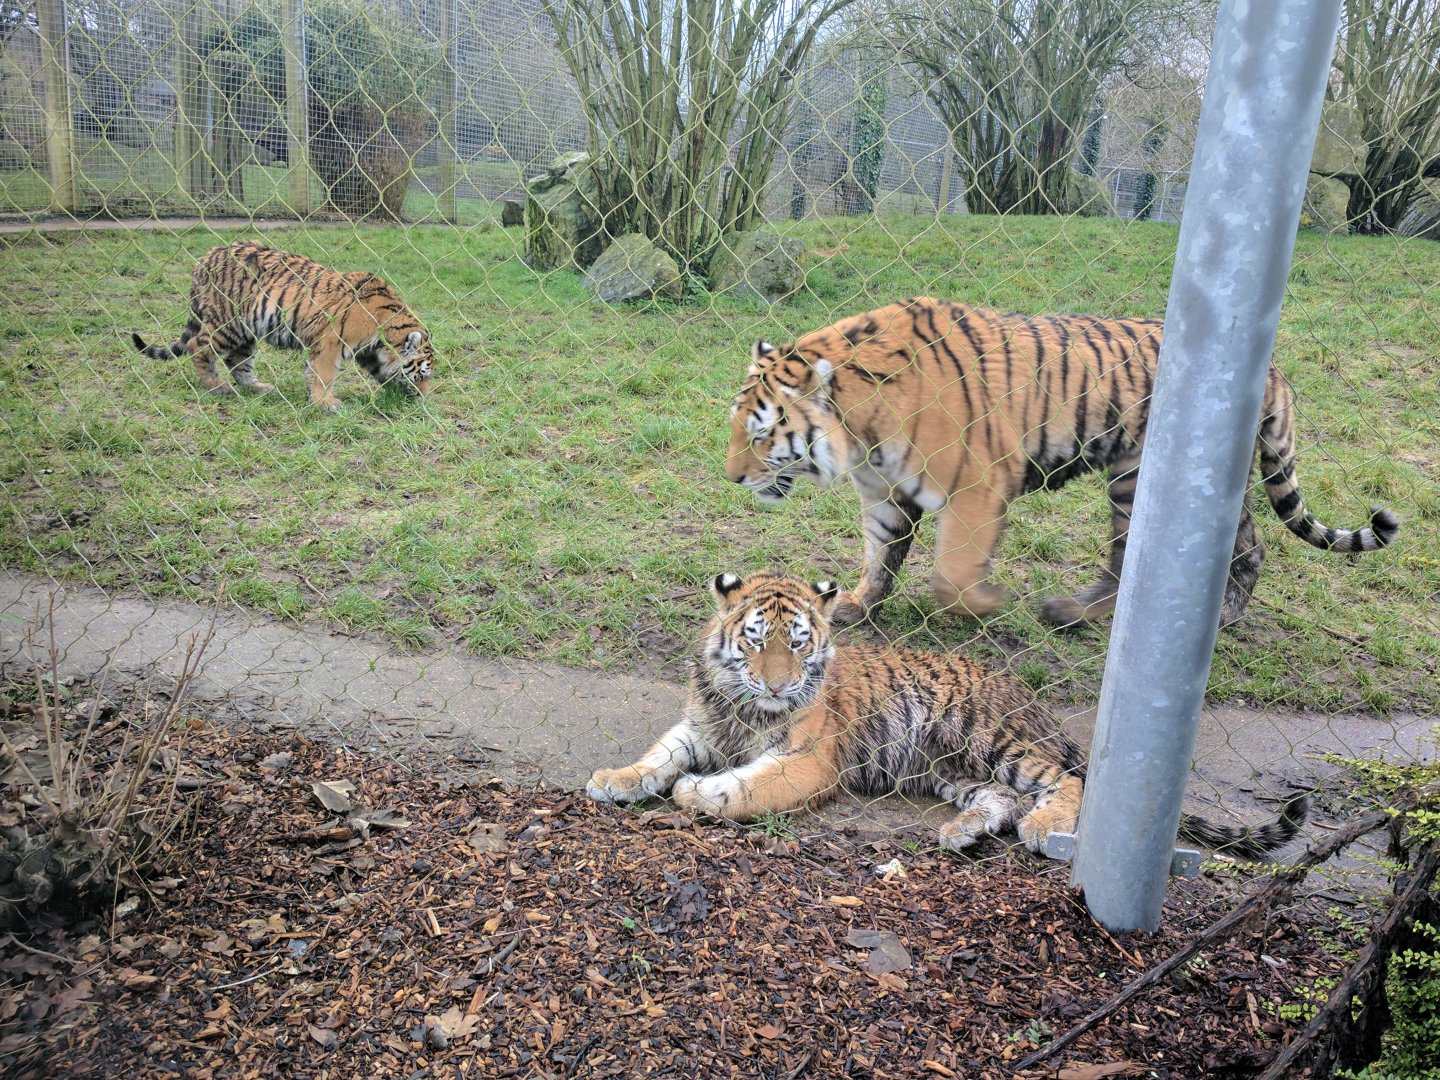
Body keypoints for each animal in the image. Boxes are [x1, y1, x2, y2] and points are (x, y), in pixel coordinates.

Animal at [131, 241, 434, 411]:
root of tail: (204, 259)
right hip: (227, 321)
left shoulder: (368, 351)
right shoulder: (329, 343)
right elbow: (323, 375)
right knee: (199, 347)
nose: (424, 396)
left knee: (237, 362)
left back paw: (258, 387)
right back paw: (216, 386)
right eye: (422, 374)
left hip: (246, 332)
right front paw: (326, 404)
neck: (384, 332)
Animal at [588, 570, 1308, 858]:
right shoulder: (700, 726)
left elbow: (743, 787)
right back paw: (961, 832)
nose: (777, 685)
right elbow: (658, 754)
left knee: (1066, 781)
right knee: (1000, 798)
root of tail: (1031, 700)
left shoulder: (807, 760)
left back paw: (1044, 828)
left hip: (991, 737)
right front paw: (615, 780)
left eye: (798, 642)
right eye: (756, 640)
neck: (741, 703)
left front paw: (695, 793)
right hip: (948, 767)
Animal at [724, 297, 1399, 628]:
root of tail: (1275, 369)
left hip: (1144, 478)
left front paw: (984, 604)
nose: (732, 477)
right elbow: (880, 556)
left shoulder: (979, 482)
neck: (859, 427)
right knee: (1199, 550)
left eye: (760, 433)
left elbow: (952, 575)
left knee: (1176, 555)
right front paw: (857, 605)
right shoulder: (888, 492)